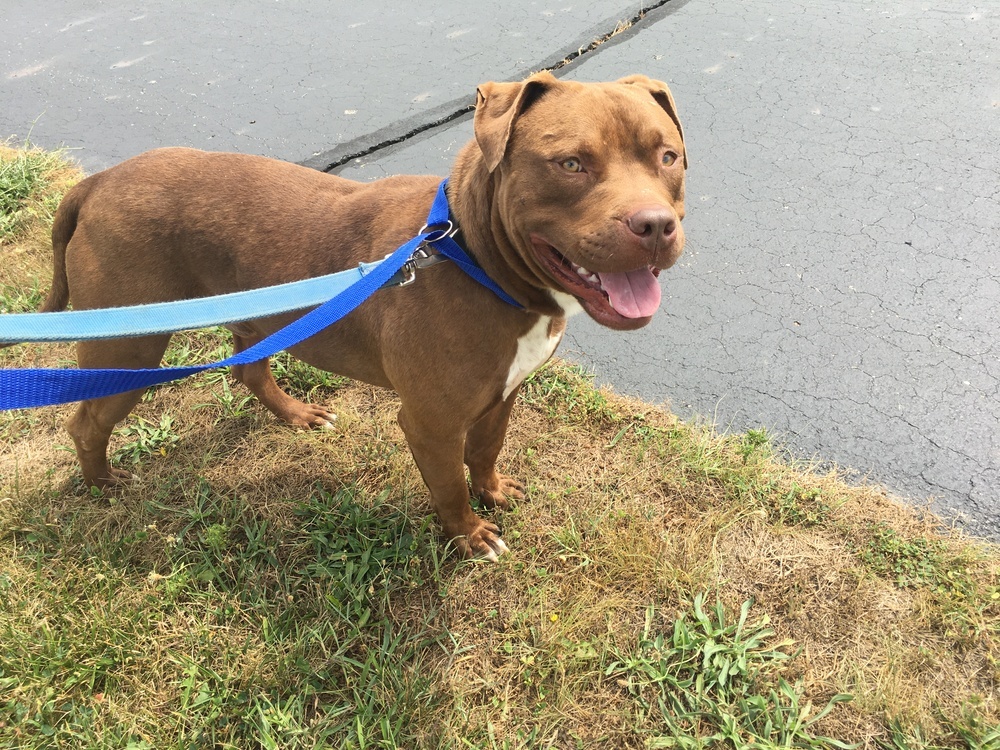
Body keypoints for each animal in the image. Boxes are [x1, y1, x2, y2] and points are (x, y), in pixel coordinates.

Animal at [37, 73, 688, 560]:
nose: (655, 225)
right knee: (87, 421)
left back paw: (297, 415)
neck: (470, 254)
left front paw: (494, 493)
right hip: (128, 348)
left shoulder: (503, 393)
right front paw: (469, 536)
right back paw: (104, 485)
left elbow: (485, 452)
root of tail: (99, 182)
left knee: (248, 368)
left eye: (668, 157)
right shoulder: (431, 423)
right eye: (571, 164)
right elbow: (449, 483)